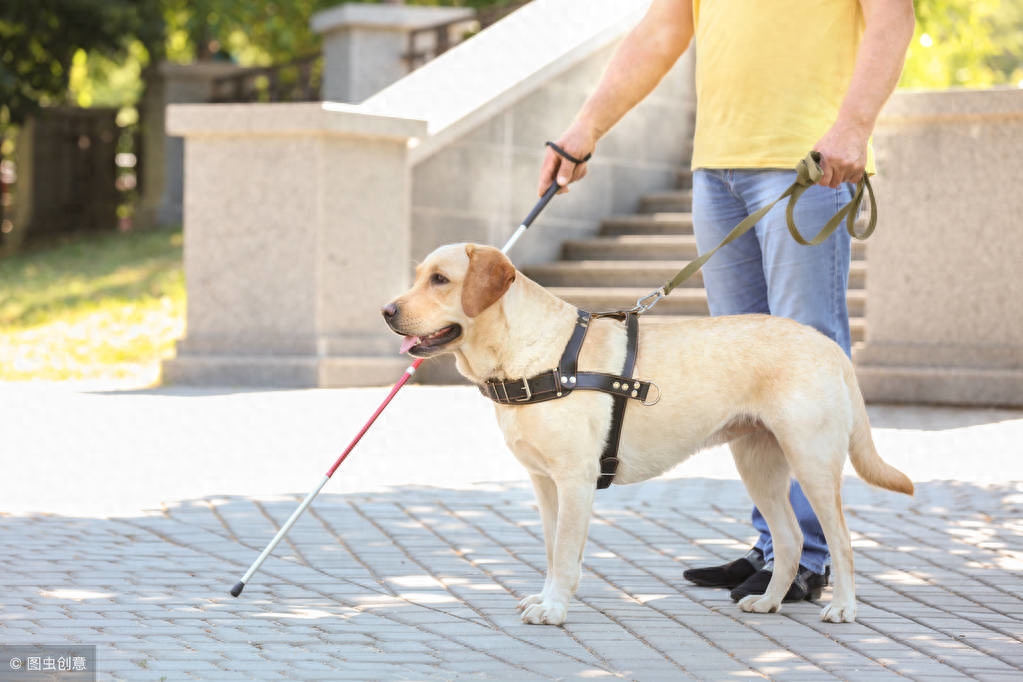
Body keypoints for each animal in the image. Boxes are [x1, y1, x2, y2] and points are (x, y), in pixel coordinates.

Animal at [382, 245, 912, 629]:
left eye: (441, 280)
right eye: (418, 274)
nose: (386, 310)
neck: (530, 355)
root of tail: (828, 344)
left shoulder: (575, 481)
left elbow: (566, 555)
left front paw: (554, 609)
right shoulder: (545, 484)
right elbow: (552, 552)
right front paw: (546, 596)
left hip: (812, 460)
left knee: (839, 540)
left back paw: (843, 608)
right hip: (757, 463)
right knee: (790, 538)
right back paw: (767, 602)